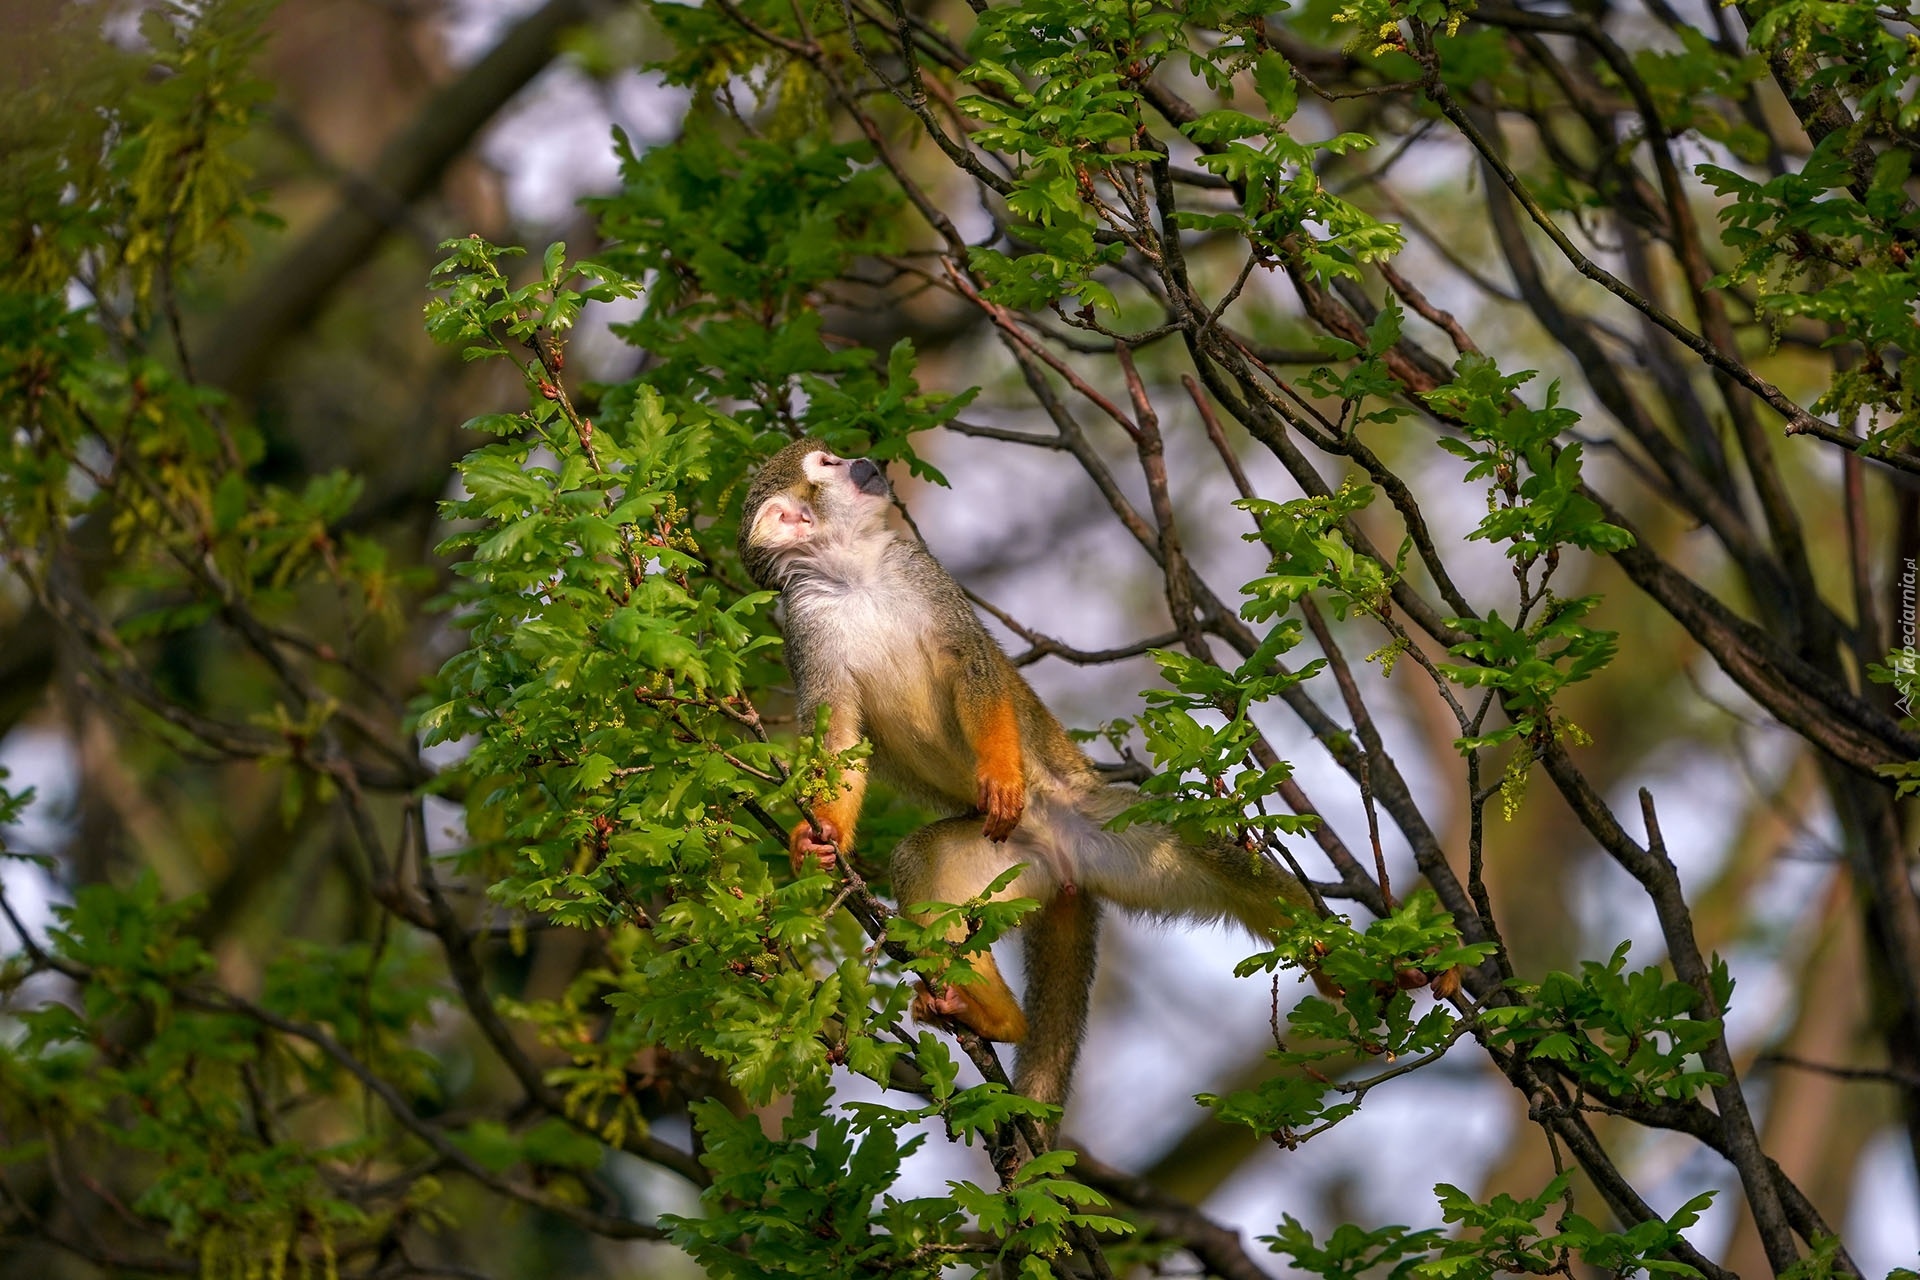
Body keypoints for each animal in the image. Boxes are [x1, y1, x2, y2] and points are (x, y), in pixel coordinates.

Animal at [737, 435, 1320, 1113]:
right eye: (828, 466)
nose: (866, 463)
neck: (851, 575)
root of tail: (1067, 862)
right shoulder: (804, 628)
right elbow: (839, 740)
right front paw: (820, 837)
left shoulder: (918, 569)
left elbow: (973, 667)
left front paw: (998, 774)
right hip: (1011, 864)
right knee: (920, 866)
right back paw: (995, 1017)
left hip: (1110, 822)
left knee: (1212, 858)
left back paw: (1336, 950)